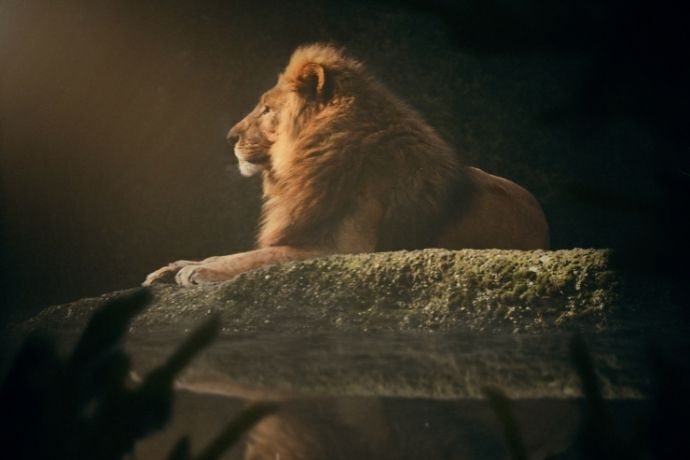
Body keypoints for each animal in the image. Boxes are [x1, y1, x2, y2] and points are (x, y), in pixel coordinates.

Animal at [144, 44, 548, 288]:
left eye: (267, 109)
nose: (229, 137)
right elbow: (237, 252)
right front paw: (173, 266)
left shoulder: (343, 251)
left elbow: (262, 256)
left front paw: (198, 270)